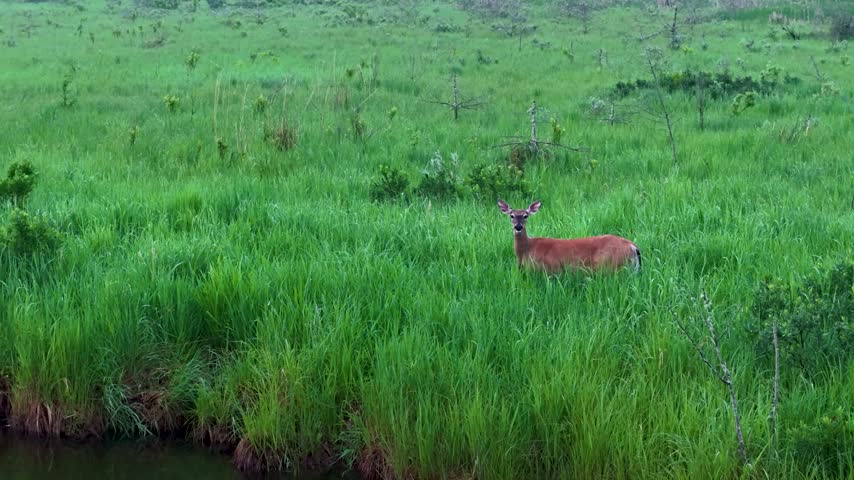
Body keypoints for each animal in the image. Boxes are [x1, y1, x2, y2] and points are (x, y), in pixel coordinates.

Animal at [497, 199, 641, 273]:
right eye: (511, 216)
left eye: (525, 216)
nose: (518, 227)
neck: (527, 250)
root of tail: (633, 246)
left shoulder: (551, 270)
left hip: (611, 265)